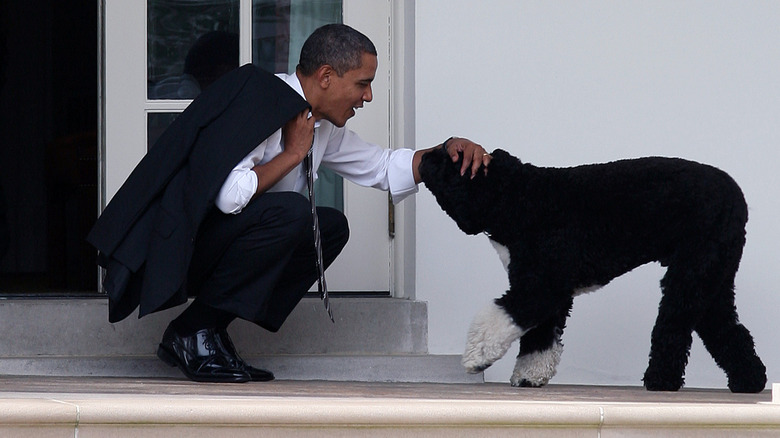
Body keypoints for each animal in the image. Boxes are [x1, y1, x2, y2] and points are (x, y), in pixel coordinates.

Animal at [420, 147, 768, 394]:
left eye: (451, 159)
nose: (422, 156)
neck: (518, 197)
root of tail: (737, 198)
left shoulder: (541, 286)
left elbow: (499, 316)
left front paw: (477, 357)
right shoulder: (549, 292)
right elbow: (539, 338)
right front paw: (530, 376)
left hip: (691, 274)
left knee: (673, 327)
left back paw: (660, 381)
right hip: (712, 278)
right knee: (726, 329)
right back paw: (749, 381)